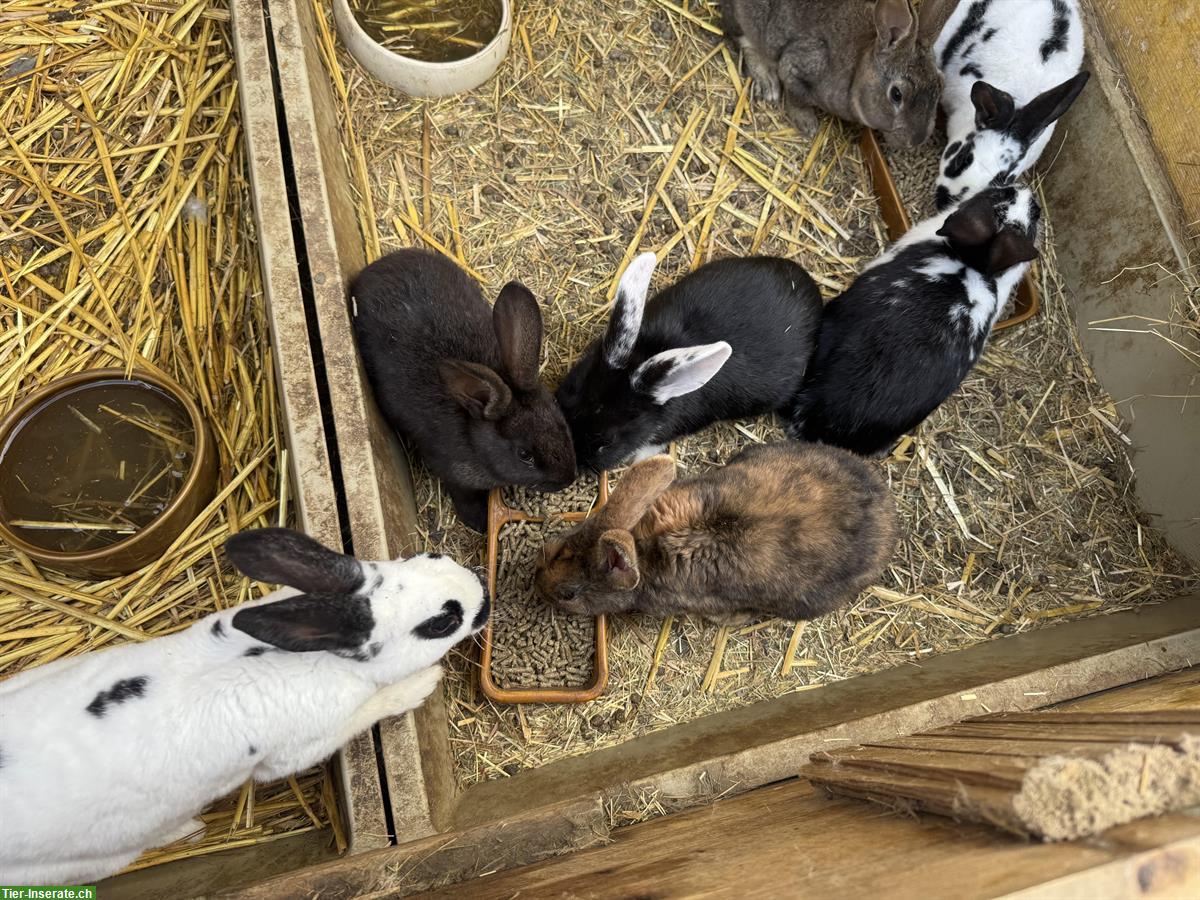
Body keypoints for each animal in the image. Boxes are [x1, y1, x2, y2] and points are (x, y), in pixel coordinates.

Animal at [0, 528, 489, 885]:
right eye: (441, 622)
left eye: (430, 554)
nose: (483, 592)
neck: (310, 653)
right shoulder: (297, 750)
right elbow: (370, 708)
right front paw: (422, 684)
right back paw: (190, 829)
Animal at [351, 248, 576, 532]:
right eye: (524, 455)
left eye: (562, 422)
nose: (568, 479)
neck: (475, 439)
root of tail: (375, 267)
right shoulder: (455, 476)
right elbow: (464, 497)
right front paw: (481, 522)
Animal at [555, 252, 823, 473]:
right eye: (569, 389)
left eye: (607, 442)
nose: (575, 464)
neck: (649, 350)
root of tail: (808, 285)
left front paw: (637, 459)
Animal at [722, 0, 944, 146]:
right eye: (896, 95)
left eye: (940, 87)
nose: (917, 141)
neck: (857, 69)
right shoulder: (799, 65)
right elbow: (796, 98)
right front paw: (808, 125)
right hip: (748, 19)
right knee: (741, 38)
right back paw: (767, 82)